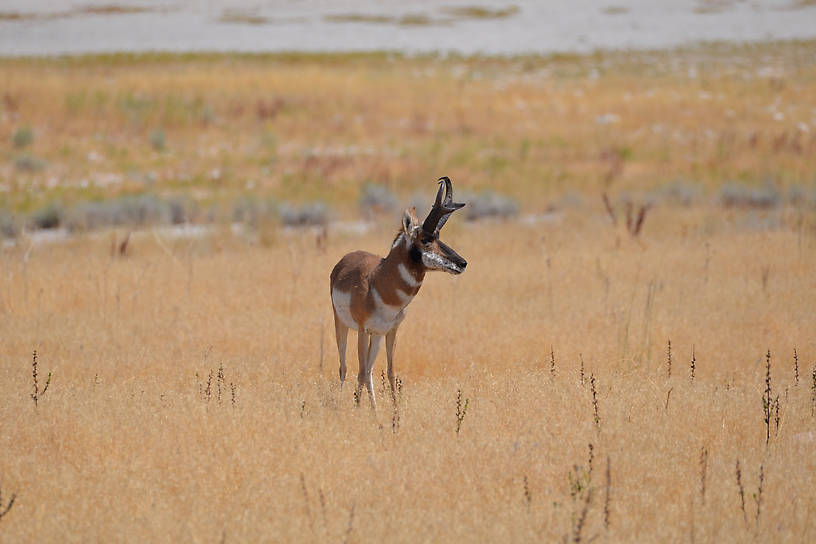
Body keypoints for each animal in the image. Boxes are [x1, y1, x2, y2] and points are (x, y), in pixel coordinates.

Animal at [330, 176, 468, 406]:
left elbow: (391, 372)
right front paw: (356, 410)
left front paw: (395, 413)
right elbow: (359, 371)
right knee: (345, 367)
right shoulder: (362, 330)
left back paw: (374, 412)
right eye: (426, 239)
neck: (379, 284)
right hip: (343, 325)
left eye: (439, 235)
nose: (462, 263)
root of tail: (344, 260)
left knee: (369, 371)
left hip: (376, 336)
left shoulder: (391, 331)